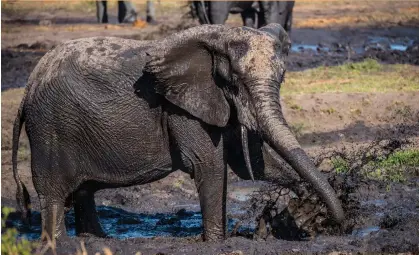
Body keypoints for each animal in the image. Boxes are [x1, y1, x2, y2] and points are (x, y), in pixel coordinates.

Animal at [13, 22, 344, 243]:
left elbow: (247, 161)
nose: (340, 225)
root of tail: (28, 86)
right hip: (50, 126)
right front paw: (216, 243)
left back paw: (96, 240)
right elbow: (208, 164)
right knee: (53, 192)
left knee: (83, 192)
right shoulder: (181, 107)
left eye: (283, 77)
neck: (221, 36)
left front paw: (305, 195)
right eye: (236, 82)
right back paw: (60, 243)